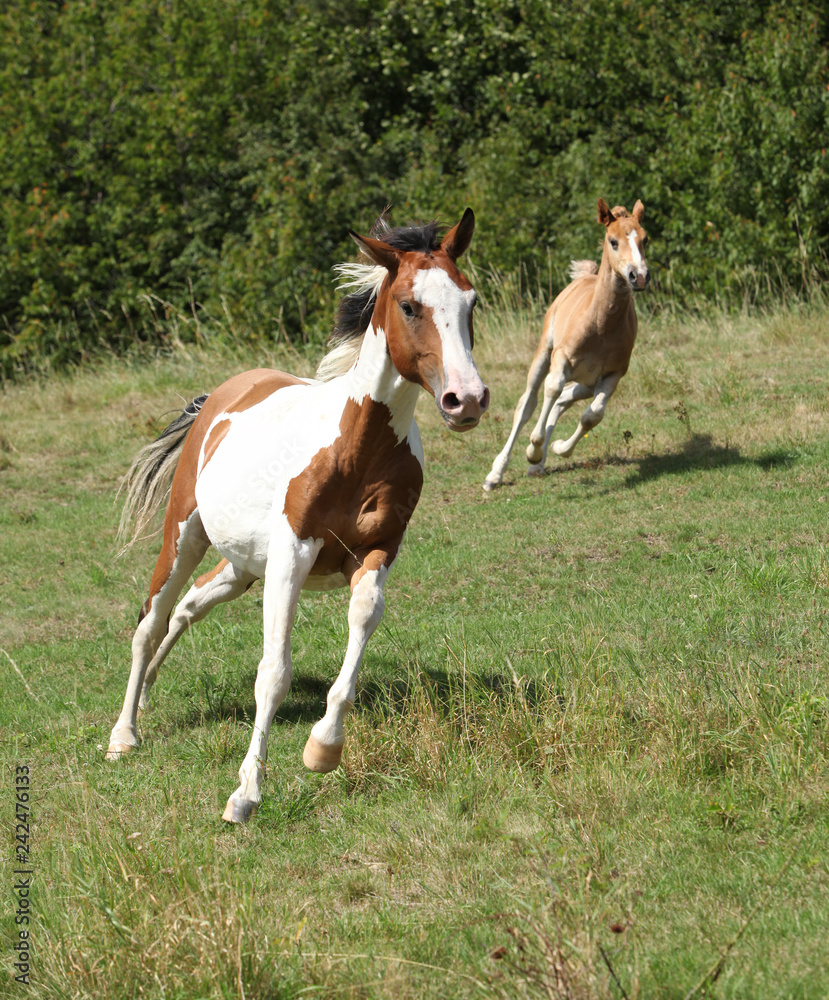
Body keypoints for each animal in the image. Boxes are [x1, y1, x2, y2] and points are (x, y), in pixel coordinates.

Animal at [106, 209, 488, 820]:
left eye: (470, 301)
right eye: (409, 305)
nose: (467, 400)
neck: (357, 450)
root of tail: (220, 395)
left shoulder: (378, 552)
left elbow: (361, 626)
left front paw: (323, 748)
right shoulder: (292, 555)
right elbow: (273, 673)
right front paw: (244, 794)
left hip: (242, 567)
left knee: (187, 607)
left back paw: (146, 698)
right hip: (185, 535)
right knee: (150, 620)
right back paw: (124, 734)